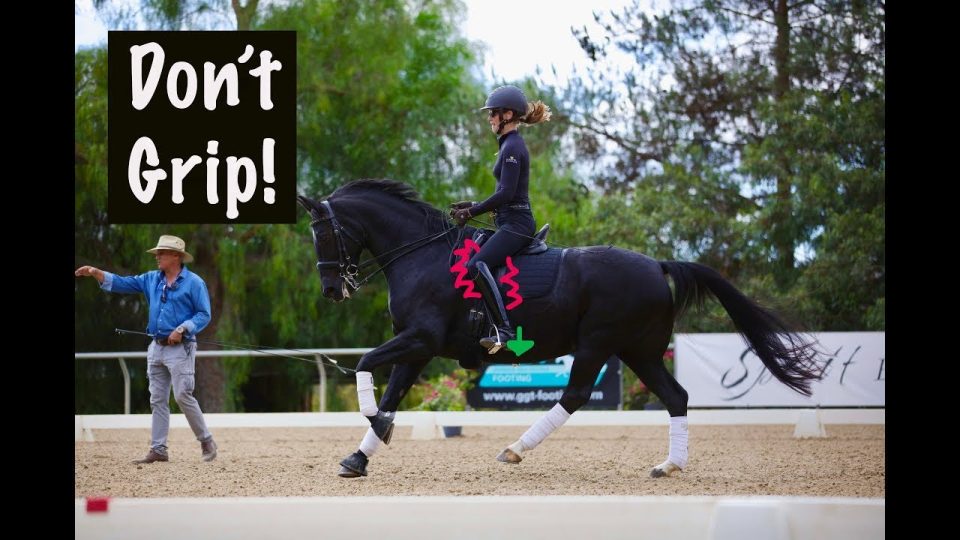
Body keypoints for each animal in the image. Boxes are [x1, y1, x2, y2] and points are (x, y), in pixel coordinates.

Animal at [296, 179, 823, 478]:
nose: (332, 290)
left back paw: (514, 450)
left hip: (598, 343)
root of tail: (656, 264)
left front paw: (374, 426)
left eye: (323, 233)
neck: (420, 255)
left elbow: (366, 366)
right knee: (675, 396)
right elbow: (392, 394)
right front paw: (360, 457)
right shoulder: (418, 347)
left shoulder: (420, 339)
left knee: (575, 395)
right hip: (640, 351)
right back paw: (669, 465)